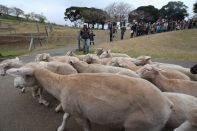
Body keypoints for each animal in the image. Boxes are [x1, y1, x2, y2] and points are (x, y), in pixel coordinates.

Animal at [6, 64, 174, 131]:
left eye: (25, 75)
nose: (16, 86)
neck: (61, 84)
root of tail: (167, 103)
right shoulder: (73, 108)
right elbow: (65, 117)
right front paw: (61, 128)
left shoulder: (81, 116)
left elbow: (86, 128)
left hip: (142, 126)